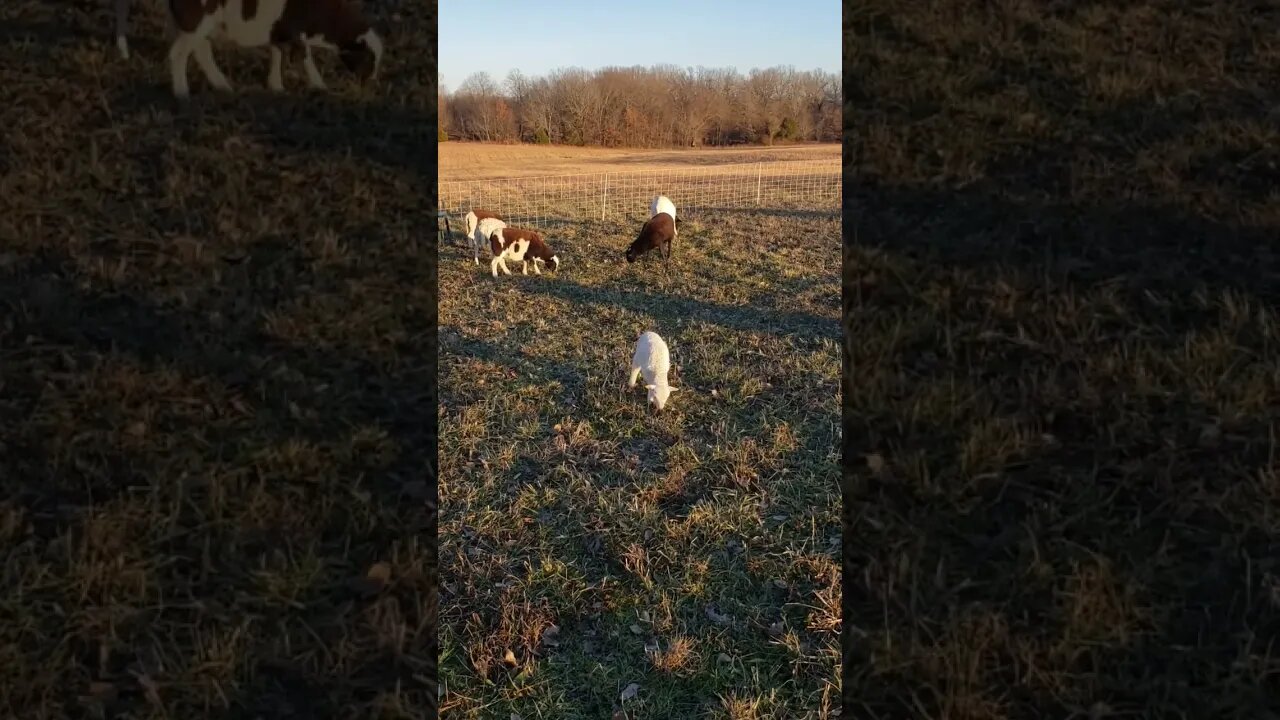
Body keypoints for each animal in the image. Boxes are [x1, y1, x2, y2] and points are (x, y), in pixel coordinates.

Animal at [146, 0, 378, 98]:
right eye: (367, 59)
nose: (367, 83)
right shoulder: (296, 31)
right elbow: (305, 58)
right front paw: (320, 86)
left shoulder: (280, 30)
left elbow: (278, 54)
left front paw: (276, 86)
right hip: (198, 20)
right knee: (179, 53)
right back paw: (182, 92)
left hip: (199, 25)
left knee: (201, 51)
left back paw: (222, 86)